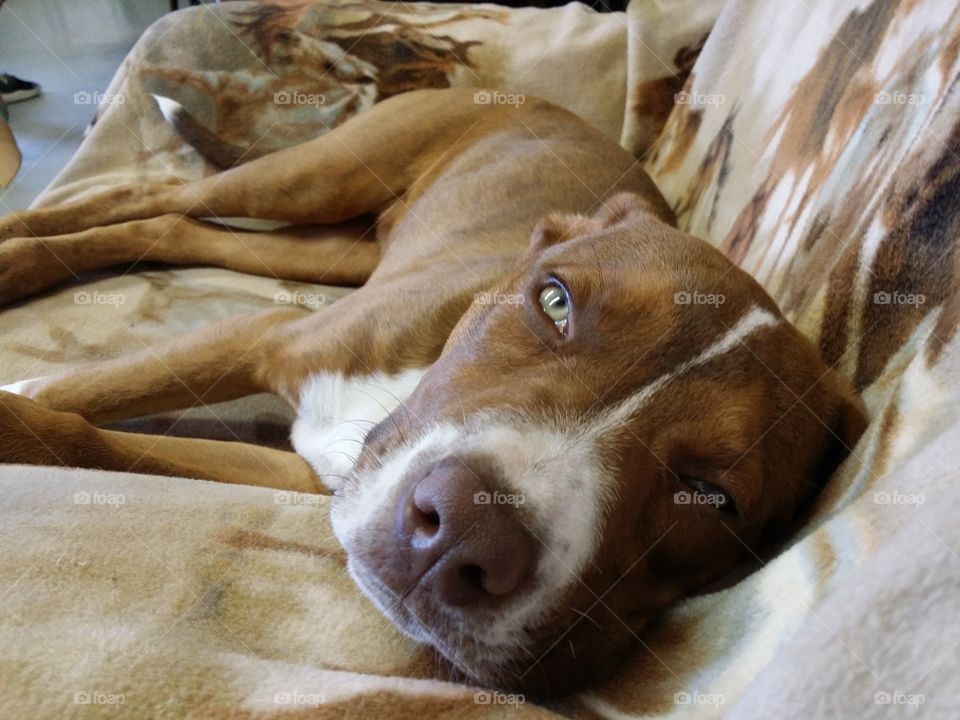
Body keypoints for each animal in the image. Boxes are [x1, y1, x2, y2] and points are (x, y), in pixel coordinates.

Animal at [0, 87, 872, 696]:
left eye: (712, 497)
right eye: (554, 301)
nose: (462, 536)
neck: (409, 384)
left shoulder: (308, 472)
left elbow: (100, 442)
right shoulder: (265, 336)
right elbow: (77, 406)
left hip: (336, 250)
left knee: (173, 229)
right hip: (307, 180)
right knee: (150, 197)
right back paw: (17, 248)